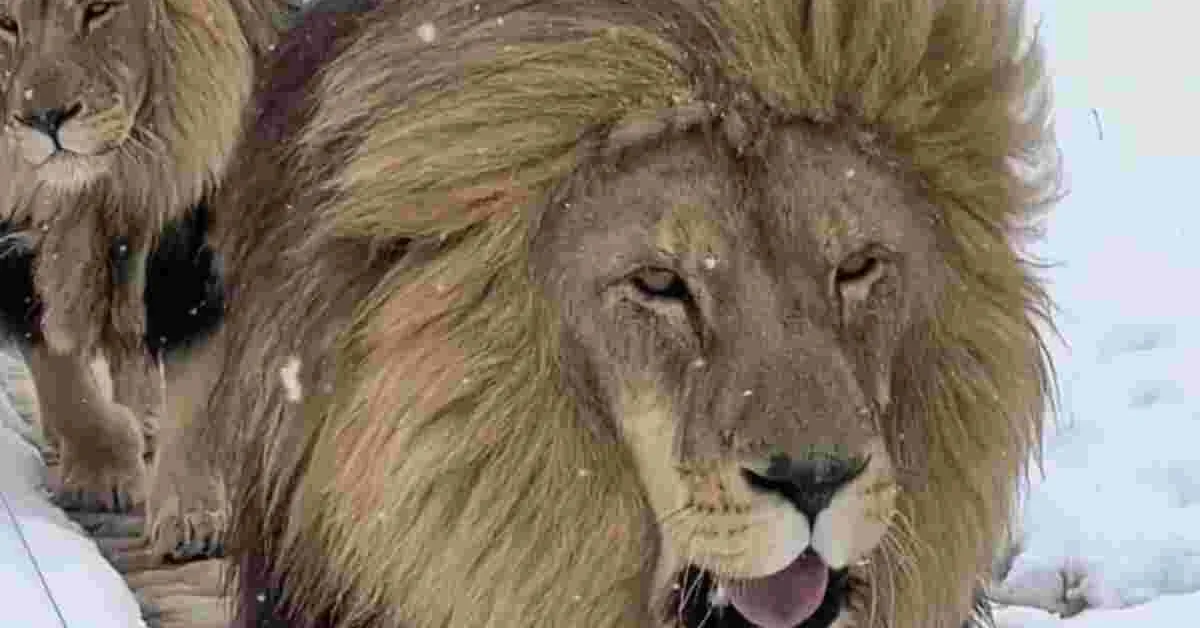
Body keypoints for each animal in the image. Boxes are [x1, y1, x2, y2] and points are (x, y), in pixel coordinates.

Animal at [0, 0, 284, 562]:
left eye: (99, 9)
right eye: (5, 24)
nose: (43, 119)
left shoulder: (197, 216)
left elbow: (197, 381)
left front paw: (193, 514)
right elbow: (56, 367)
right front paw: (101, 468)